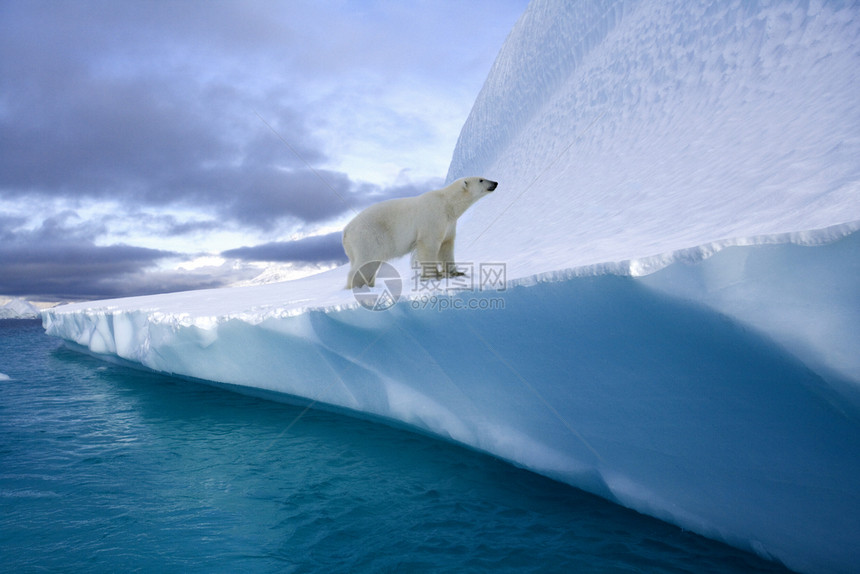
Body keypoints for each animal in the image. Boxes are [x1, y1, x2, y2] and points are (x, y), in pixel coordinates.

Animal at [344, 178, 498, 290]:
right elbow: (429, 245)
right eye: (481, 180)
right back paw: (357, 287)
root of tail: (346, 231)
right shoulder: (433, 218)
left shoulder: (449, 223)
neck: (447, 203)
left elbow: (446, 246)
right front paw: (434, 276)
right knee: (365, 261)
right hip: (368, 237)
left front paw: (455, 273)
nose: (495, 183)